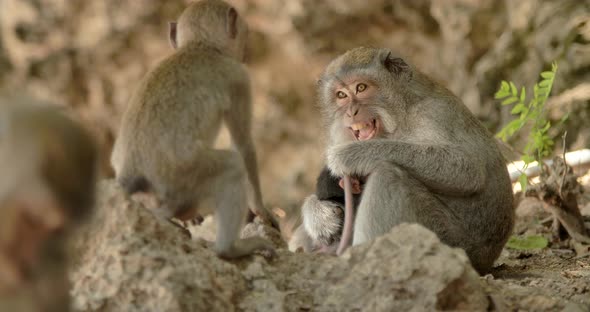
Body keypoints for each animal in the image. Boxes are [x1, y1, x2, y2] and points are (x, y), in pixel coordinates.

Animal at [111, 0, 278, 258]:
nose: (246, 52)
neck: (200, 47)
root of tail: (131, 170)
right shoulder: (239, 77)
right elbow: (243, 145)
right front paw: (261, 209)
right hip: (184, 174)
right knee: (232, 165)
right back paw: (230, 249)